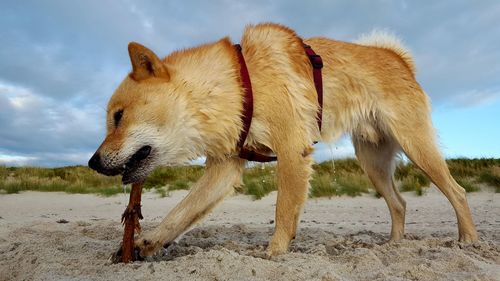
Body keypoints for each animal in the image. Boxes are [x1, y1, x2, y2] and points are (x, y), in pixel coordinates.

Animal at [88, 23, 478, 258]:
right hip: (373, 162)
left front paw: (274, 253)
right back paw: (393, 247)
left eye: (118, 117)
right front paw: (148, 242)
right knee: (399, 203)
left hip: (417, 147)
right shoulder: (225, 169)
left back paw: (469, 240)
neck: (236, 84)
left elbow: (283, 212)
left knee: (457, 192)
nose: (92, 162)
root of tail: (398, 60)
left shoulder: (291, 150)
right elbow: (181, 212)